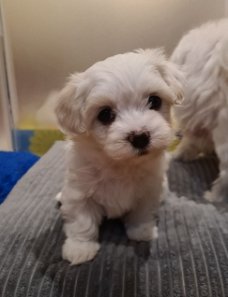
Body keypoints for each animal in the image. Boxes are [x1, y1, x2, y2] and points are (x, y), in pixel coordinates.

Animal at [54, 48, 183, 264]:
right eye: (105, 114)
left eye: (154, 101)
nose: (140, 137)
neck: (120, 164)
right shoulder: (80, 191)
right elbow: (81, 219)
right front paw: (80, 248)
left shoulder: (148, 190)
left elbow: (141, 212)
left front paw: (142, 231)